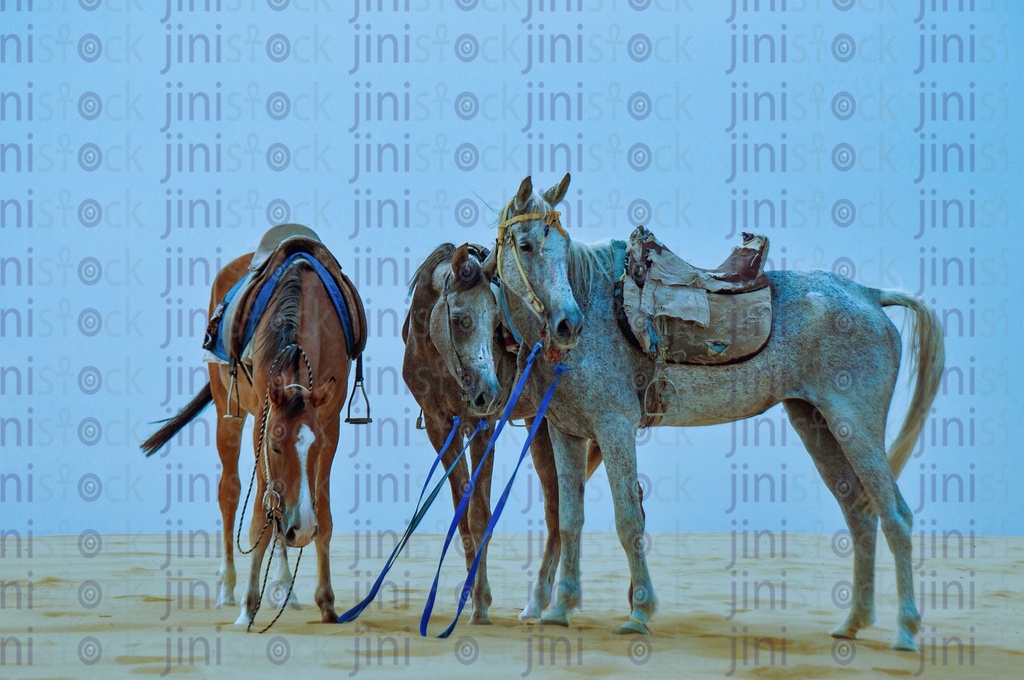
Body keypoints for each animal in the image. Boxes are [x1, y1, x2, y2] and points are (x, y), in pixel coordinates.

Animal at [141, 229, 365, 626]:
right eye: (276, 446)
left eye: (316, 446)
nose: (301, 530)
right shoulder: (263, 419)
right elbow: (262, 508)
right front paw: (247, 606)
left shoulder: (330, 422)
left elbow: (319, 509)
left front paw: (326, 601)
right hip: (227, 414)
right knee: (230, 492)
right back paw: (229, 587)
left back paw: (284, 587)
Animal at [487, 174, 944, 651]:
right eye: (525, 245)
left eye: (561, 243)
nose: (568, 324)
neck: (597, 307)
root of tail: (870, 296)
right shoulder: (568, 434)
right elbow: (570, 520)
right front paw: (559, 610)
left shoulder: (614, 428)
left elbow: (628, 520)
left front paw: (638, 613)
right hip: (817, 426)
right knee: (860, 515)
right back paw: (852, 622)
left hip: (856, 426)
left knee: (896, 516)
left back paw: (906, 631)